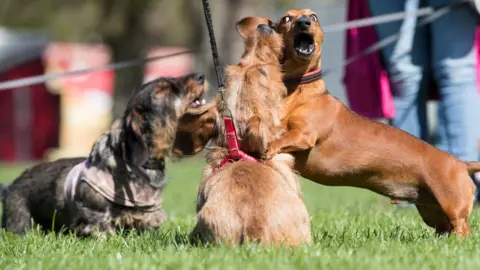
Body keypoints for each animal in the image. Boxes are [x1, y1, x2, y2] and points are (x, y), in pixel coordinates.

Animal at [262, 9, 480, 235]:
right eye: (286, 19)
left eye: (313, 17)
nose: (304, 22)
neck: (299, 89)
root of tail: (462, 164)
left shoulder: (304, 134)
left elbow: (283, 138)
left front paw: (270, 148)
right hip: (431, 210)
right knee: (443, 228)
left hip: (453, 205)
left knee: (462, 228)